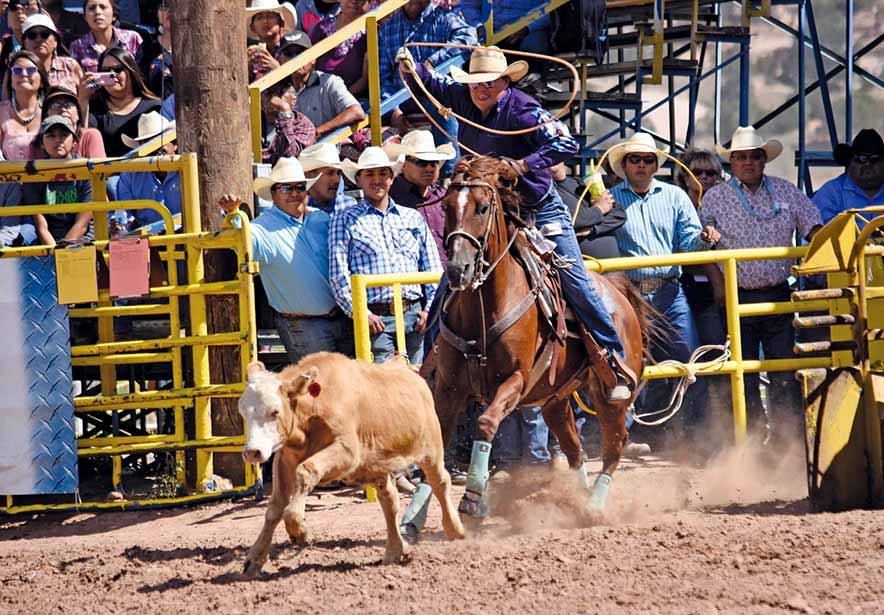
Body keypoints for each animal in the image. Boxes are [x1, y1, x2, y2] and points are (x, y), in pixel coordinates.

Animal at [418, 155, 652, 520]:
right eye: (446, 206)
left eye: (482, 207)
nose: (458, 269)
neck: (484, 308)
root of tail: (618, 291)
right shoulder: (449, 387)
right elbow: (438, 443)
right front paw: (411, 518)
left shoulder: (515, 381)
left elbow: (485, 423)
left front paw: (473, 497)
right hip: (556, 399)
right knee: (574, 448)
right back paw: (577, 497)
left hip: (608, 395)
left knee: (615, 444)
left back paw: (593, 506)